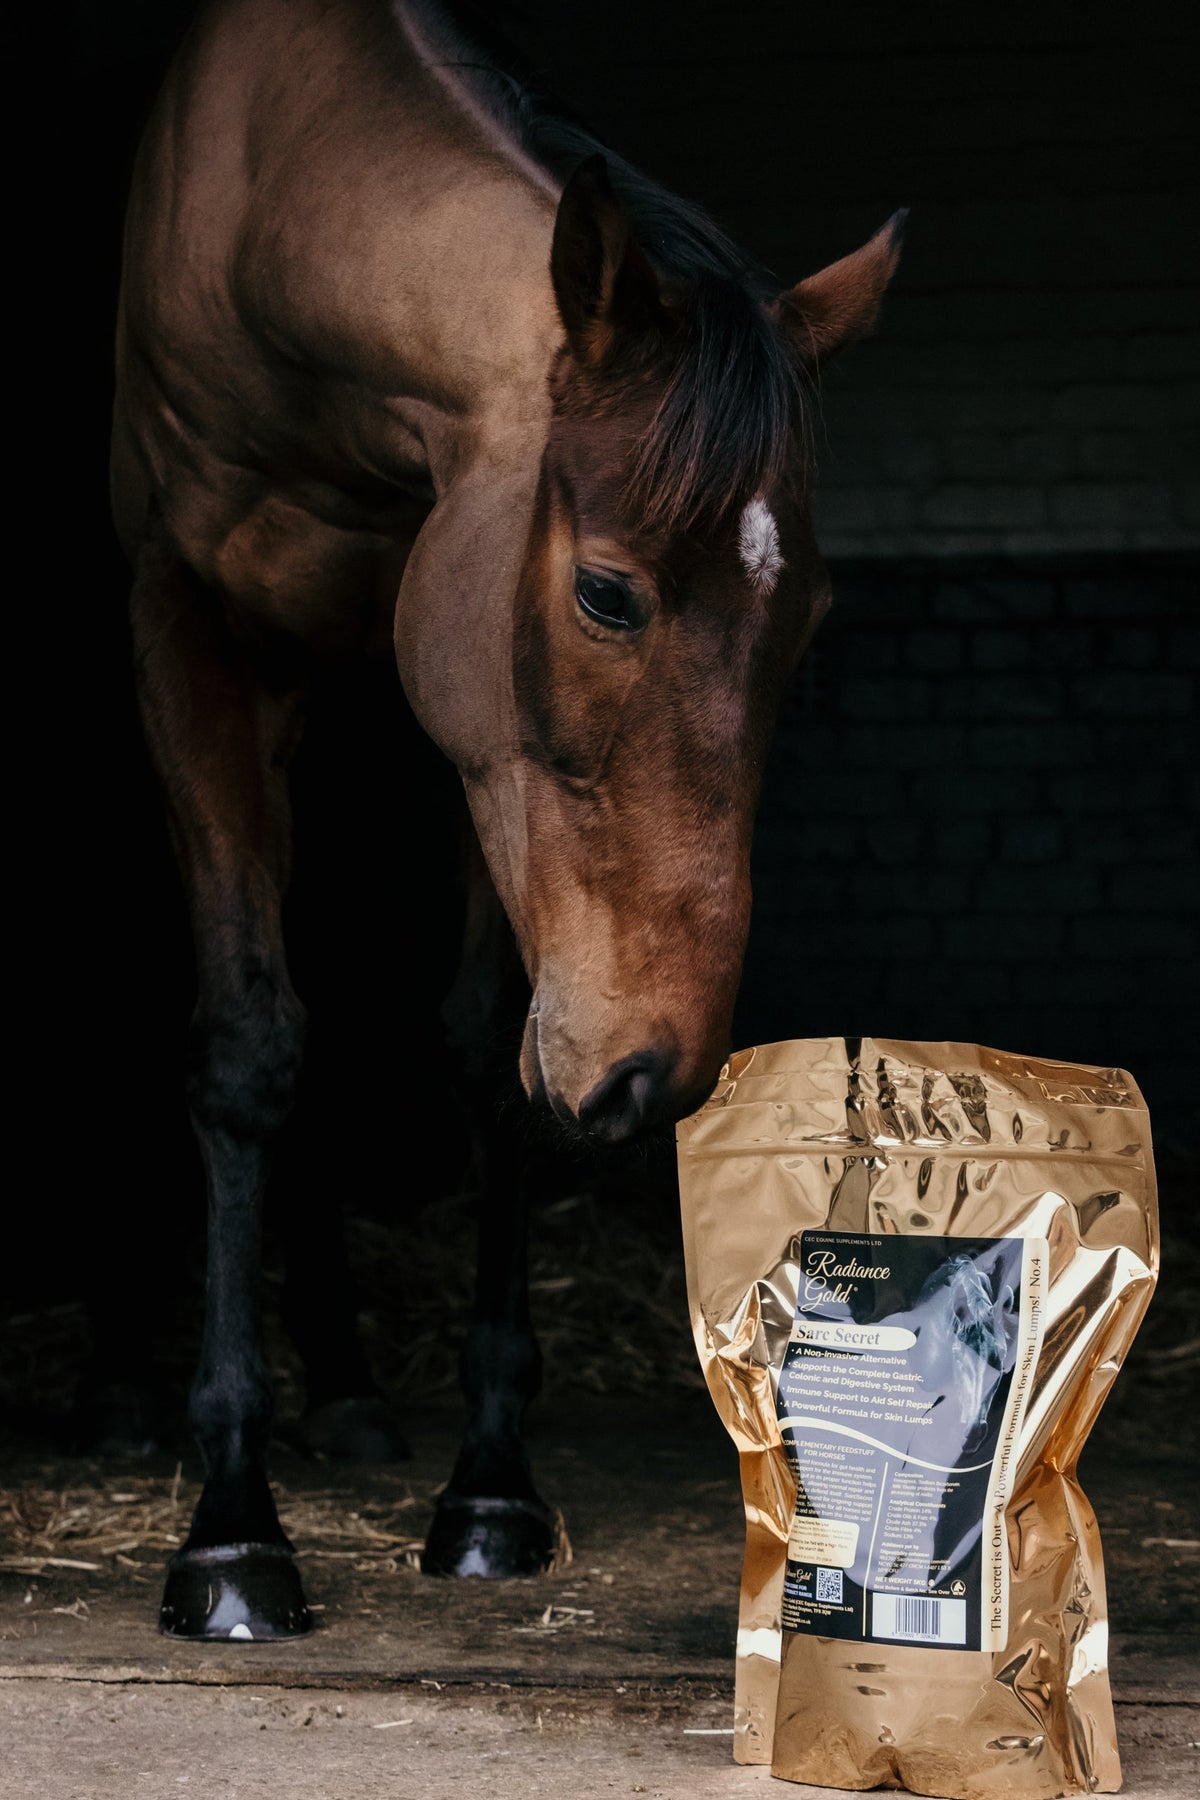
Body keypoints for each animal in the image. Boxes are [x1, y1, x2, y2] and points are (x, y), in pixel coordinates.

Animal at [111, 0, 903, 1639]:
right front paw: (230, 1529)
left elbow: (484, 1053)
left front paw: (488, 1486)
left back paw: (350, 1388)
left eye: (808, 618)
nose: (659, 1070)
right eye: (606, 591)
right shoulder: (187, 630)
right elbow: (245, 1047)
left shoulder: (478, 744)